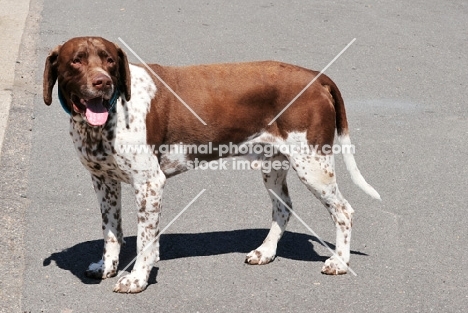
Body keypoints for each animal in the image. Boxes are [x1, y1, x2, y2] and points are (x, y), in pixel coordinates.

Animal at [43, 36, 380, 292]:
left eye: (110, 60)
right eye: (76, 61)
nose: (102, 82)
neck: (108, 118)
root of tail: (316, 77)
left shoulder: (149, 185)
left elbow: (144, 241)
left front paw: (137, 278)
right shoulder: (104, 181)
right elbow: (111, 230)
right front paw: (107, 266)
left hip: (313, 165)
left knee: (344, 211)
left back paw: (340, 262)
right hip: (274, 165)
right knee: (283, 208)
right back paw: (266, 252)